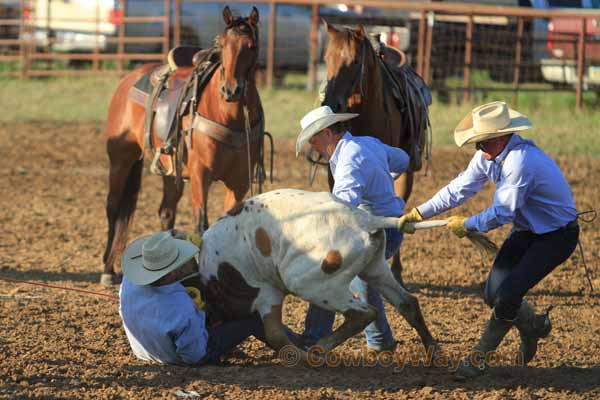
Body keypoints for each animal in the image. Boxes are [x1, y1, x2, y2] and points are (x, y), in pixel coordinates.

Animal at [101, 7, 262, 286]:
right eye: (223, 45)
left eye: (251, 46)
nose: (230, 90)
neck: (228, 115)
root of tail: (130, 77)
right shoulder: (200, 175)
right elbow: (202, 225)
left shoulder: (239, 182)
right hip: (121, 158)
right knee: (113, 207)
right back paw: (108, 270)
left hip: (169, 170)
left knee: (166, 212)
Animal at [318, 21, 432, 288]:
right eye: (327, 58)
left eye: (354, 61)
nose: (331, 103)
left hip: (407, 172)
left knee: (400, 207)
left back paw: (397, 271)